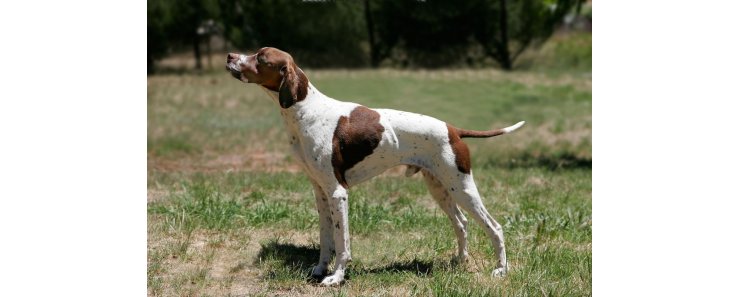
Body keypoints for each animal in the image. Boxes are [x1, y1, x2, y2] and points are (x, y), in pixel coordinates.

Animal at [228, 46, 524, 284]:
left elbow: (342, 242)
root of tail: (453, 129)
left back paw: (501, 270)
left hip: (462, 187)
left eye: (261, 57)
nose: (230, 56)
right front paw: (320, 270)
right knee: (461, 223)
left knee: (495, 227)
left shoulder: (338, 192)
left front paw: (336, 277)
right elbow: (326, 240)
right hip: (441, 188)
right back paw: (460, 260)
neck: (307, 111)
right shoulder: (321, 193)